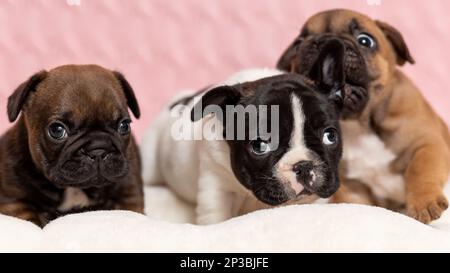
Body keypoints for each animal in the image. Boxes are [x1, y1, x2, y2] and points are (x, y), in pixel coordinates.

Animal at [0, 63, 143, 225]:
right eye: (57, 130)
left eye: (124, 126)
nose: (98, 150)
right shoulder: (15, 202)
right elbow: (30, 221)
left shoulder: (129, 195)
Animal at [278, 9, 450, 223]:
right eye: (298, 43)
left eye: (365, 41)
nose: (325, 42)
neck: (359, 123)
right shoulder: (353, 185)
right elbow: (354, 201)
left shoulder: (426, 144)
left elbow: (420, 169)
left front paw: (424, 202)